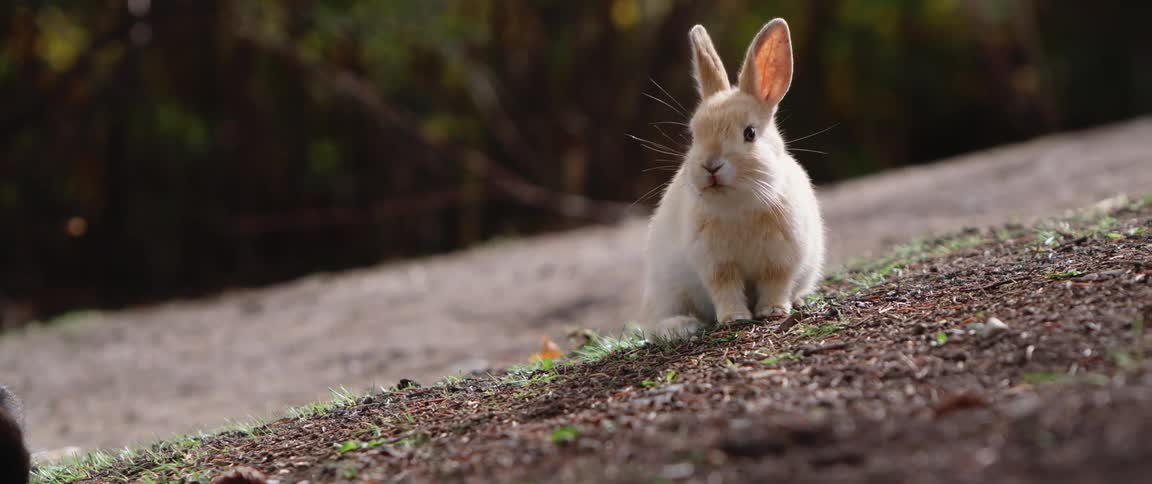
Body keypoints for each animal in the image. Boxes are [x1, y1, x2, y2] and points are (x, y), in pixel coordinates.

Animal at [641, 19, 825, 335]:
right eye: (693, 135)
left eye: (749, 133)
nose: (710, 166)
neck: (738, 204)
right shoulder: (716, 264)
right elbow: (725, 289)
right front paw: (735, 318)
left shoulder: (781, 258)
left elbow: (775, 284)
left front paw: (773, 310)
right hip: (666, 288)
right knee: (656, 321)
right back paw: (681, 326)